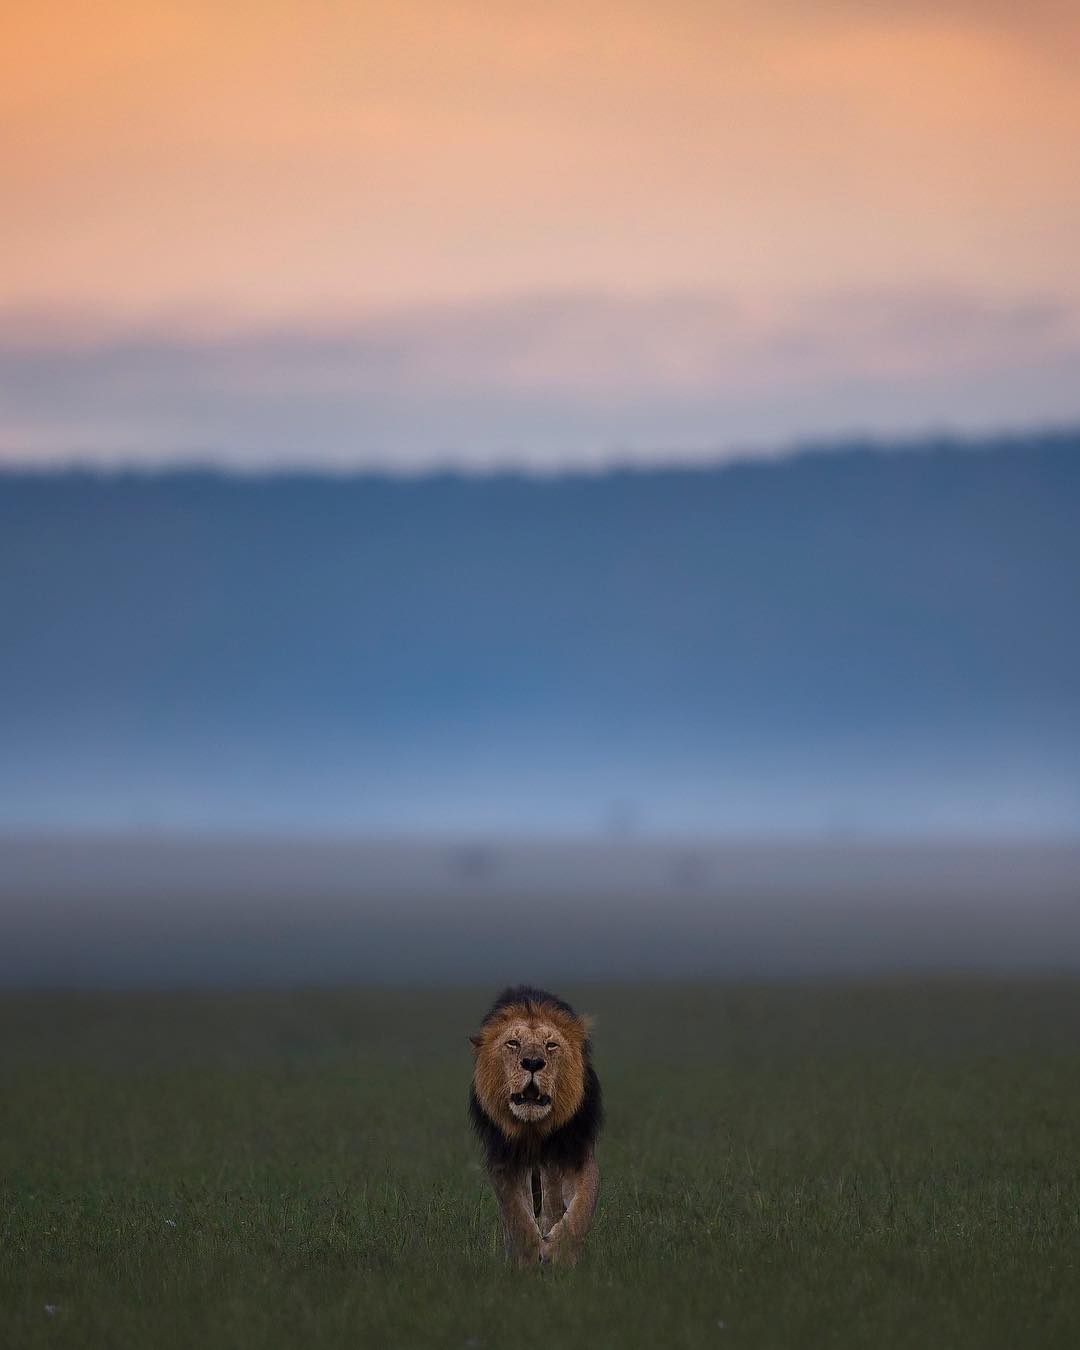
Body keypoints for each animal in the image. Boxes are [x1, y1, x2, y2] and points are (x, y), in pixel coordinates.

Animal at [467, 982, 602, 1263]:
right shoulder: (504, 1159)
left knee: (553, 1202)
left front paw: (559, 1253)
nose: (532, 1062)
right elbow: (517, 1214)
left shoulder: (575, 1150)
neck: (534, 1129)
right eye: (513, 1043)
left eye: (551, 1045)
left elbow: (581, 1210)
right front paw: (525, 1258)